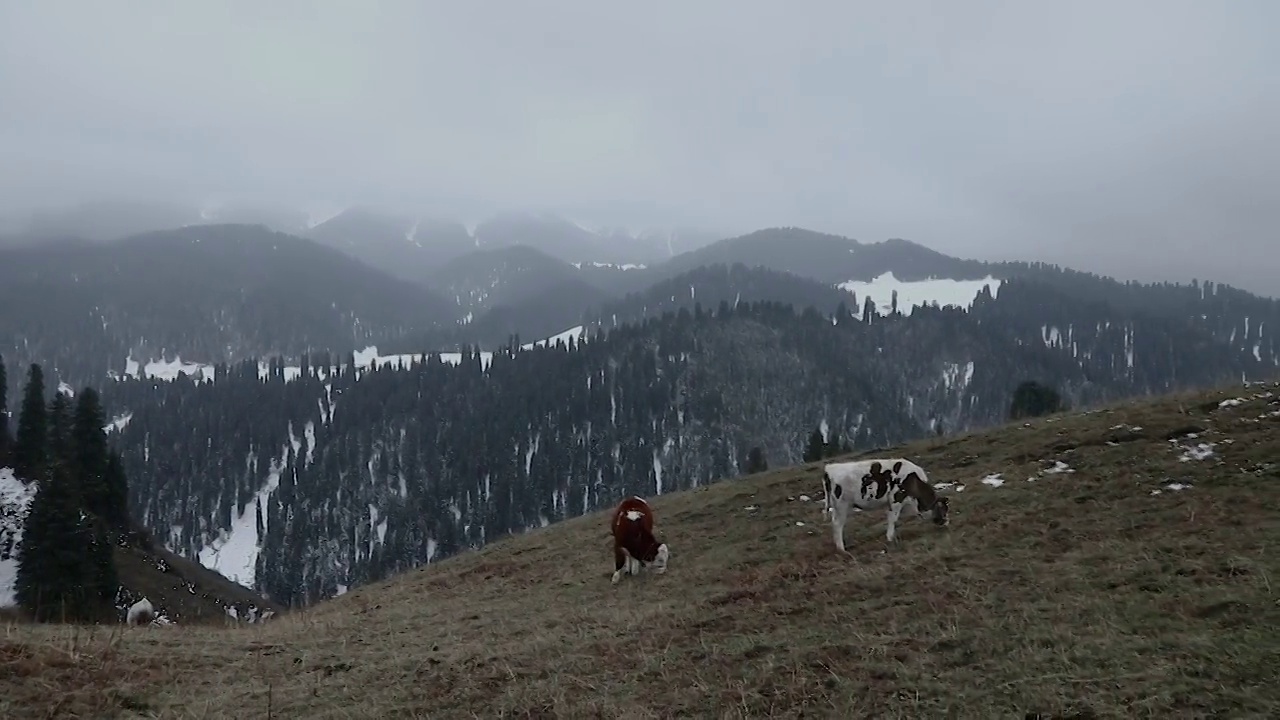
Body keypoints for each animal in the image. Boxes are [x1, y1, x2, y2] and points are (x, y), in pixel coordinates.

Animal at [819, 456, 952, 550]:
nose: (947, 523)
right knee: (838, 525)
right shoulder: (896, 498)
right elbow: (892, 519)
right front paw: (890, 538)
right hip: (842, 505)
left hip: (836, 507)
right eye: (944, 509)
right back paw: (842, 549)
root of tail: (830, 468)